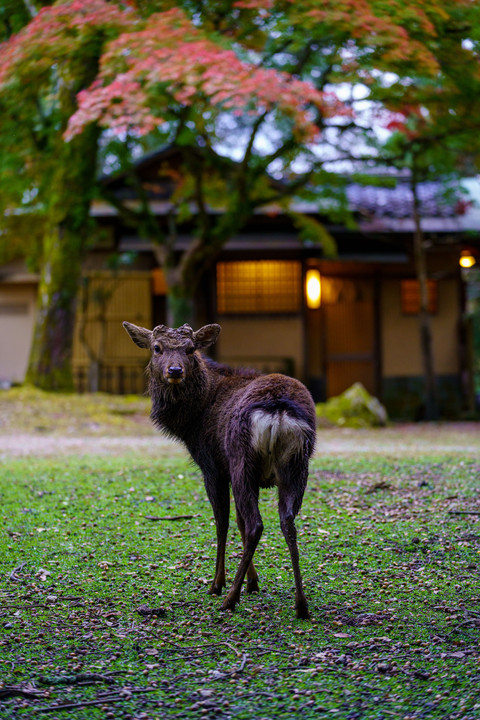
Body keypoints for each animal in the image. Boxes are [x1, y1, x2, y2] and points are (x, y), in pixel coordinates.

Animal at [124, 320, 316, 620]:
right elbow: (237, 521)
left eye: (191, 348)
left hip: (241, 460)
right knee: (287, 522)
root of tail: (278, 412)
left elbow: (223, 523)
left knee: (256, 524)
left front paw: (218, 583)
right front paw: (253, 582)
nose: (175, 370)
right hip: (297, 466)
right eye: (157, 347)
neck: (192, 420)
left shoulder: (212, 466)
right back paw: (301, 604)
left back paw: (229, 598)